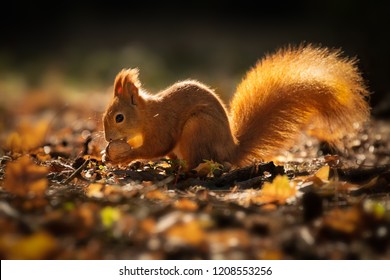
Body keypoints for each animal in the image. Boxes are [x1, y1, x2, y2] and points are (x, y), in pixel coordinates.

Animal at [102, 44, 370, 170]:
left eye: (118, 118)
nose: (107, 138)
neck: (146, 115)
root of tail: (230, 150)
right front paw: (108, 153)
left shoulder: (162, 125)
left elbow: (157, 146)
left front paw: (124, 156)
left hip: (197, 128)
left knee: (198, 162)